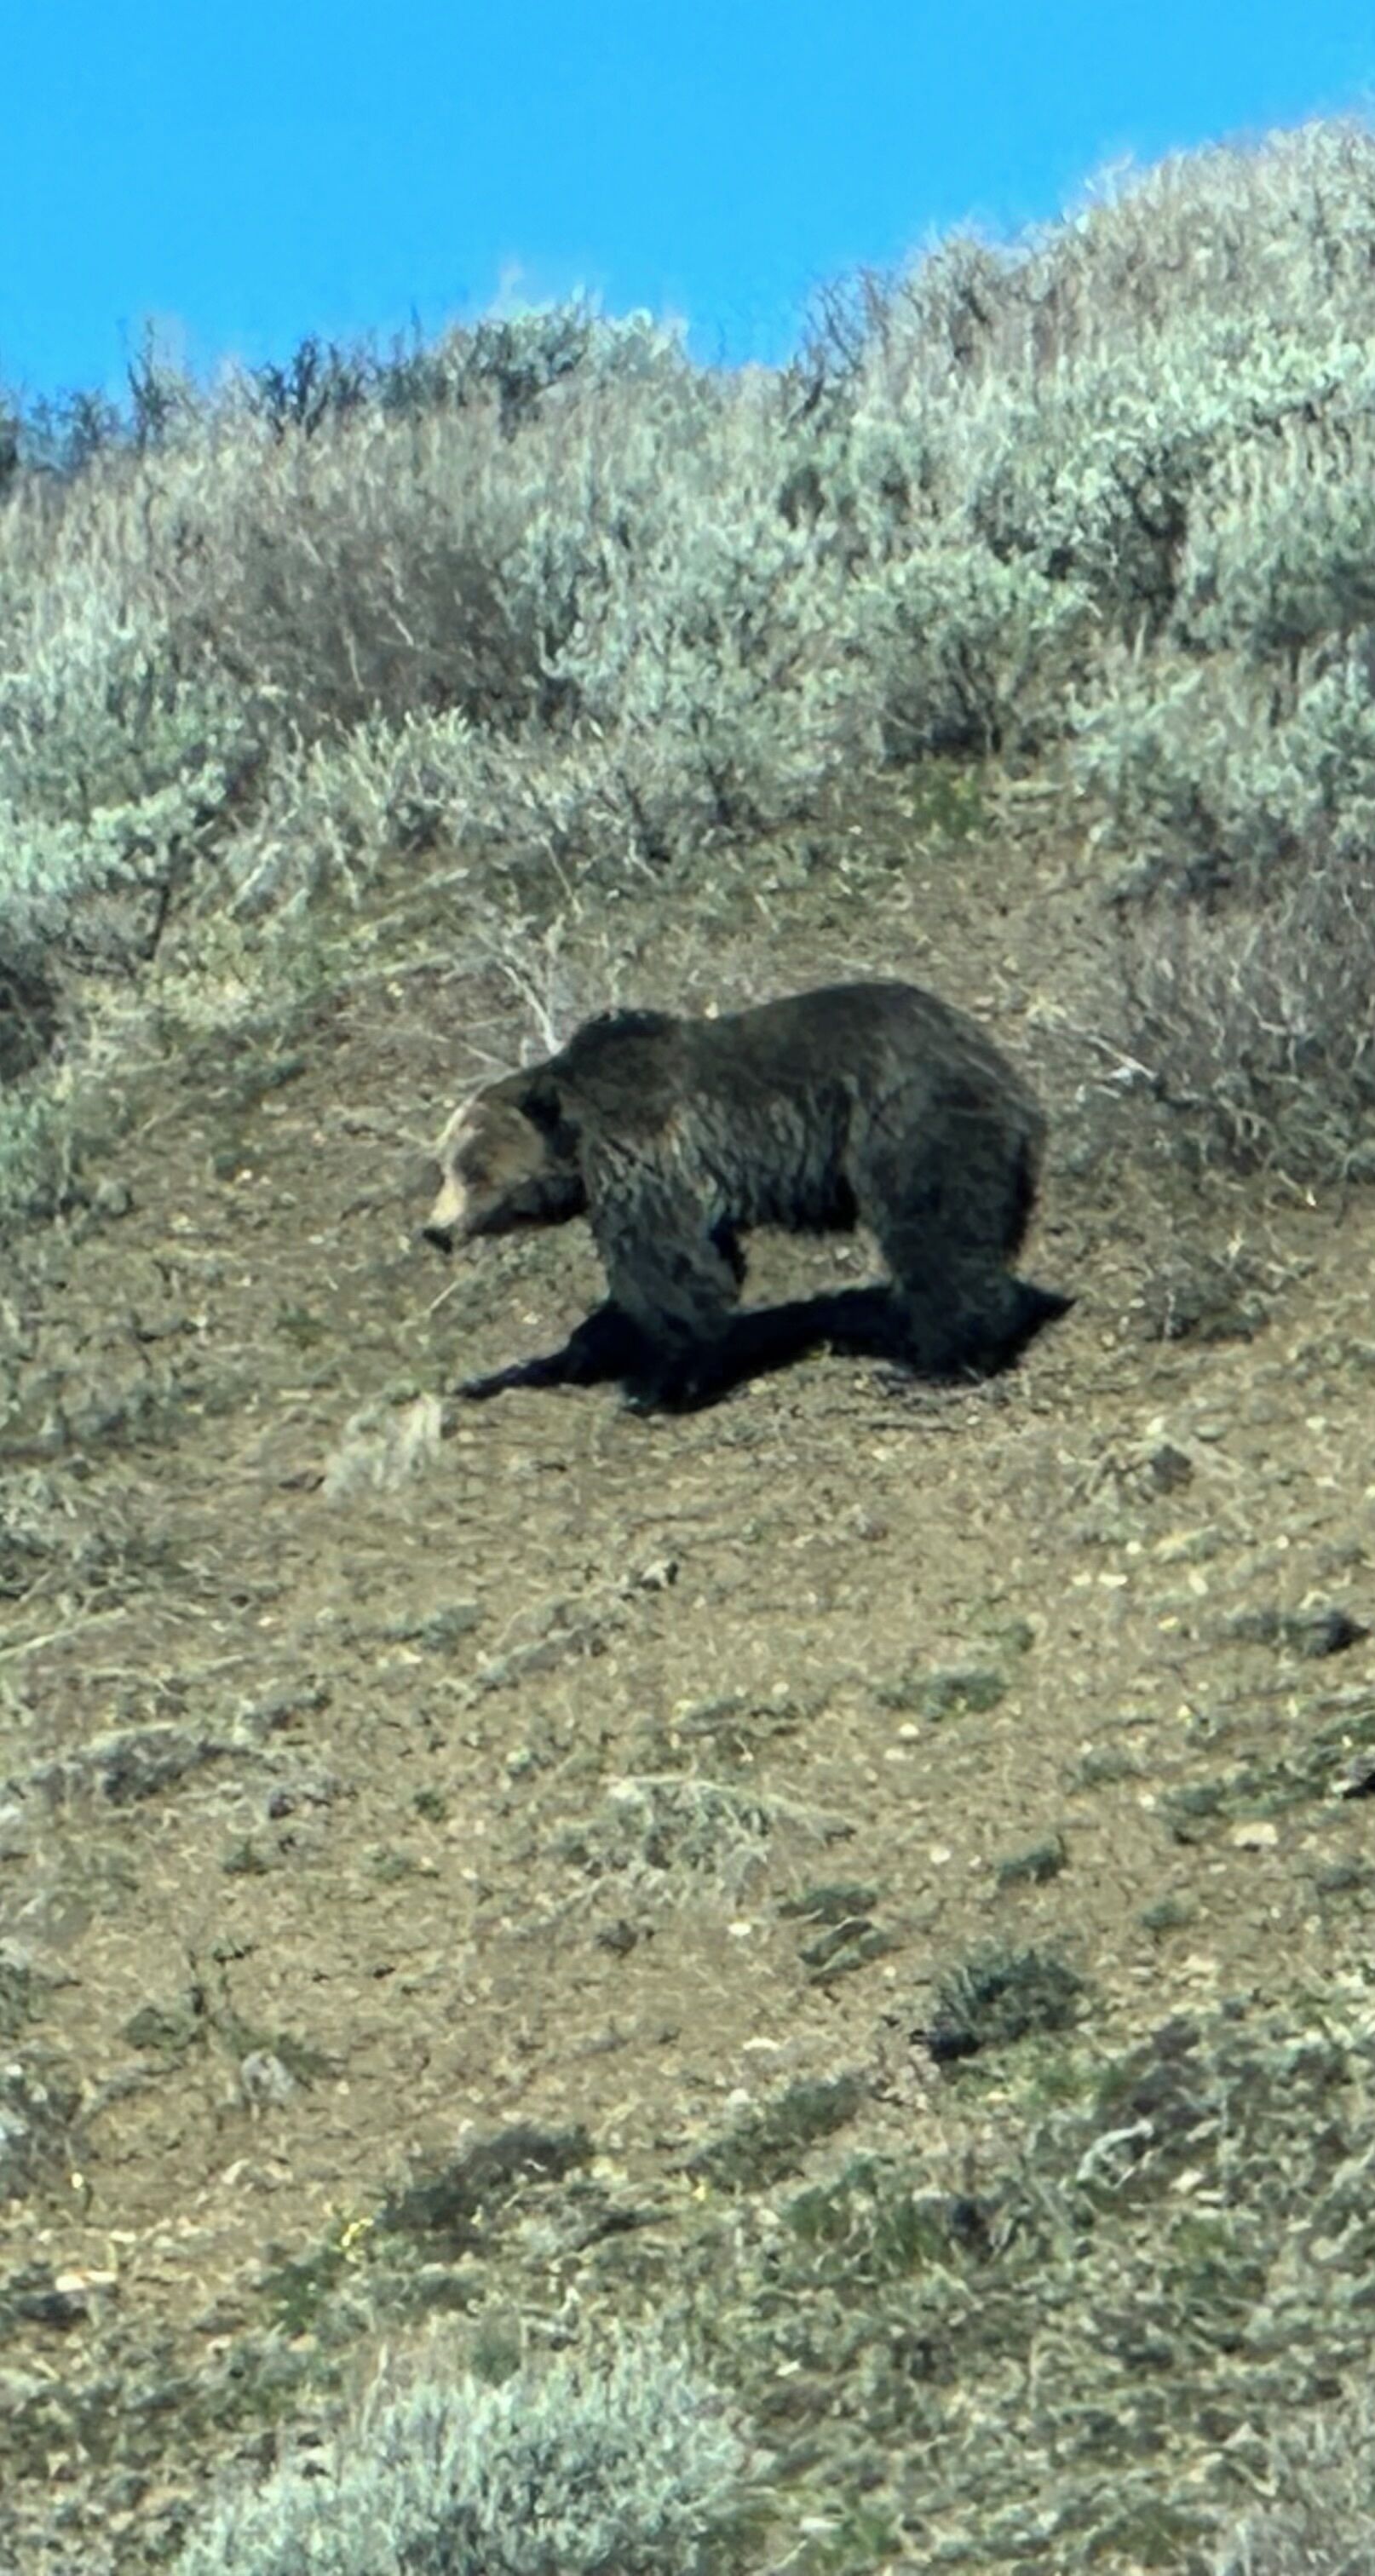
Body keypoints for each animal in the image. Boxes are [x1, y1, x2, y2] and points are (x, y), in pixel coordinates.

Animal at [421, 980, 1071, 1414]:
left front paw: (657, 1385)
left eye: (471, 1170)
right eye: (443, 1167)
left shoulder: (648, 1156)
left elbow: (668, 1271)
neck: (580, 1138)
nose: (434, 1229)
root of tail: (994, 1062)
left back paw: (940, 1360)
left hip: (906, 1128)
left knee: (937, 1237)